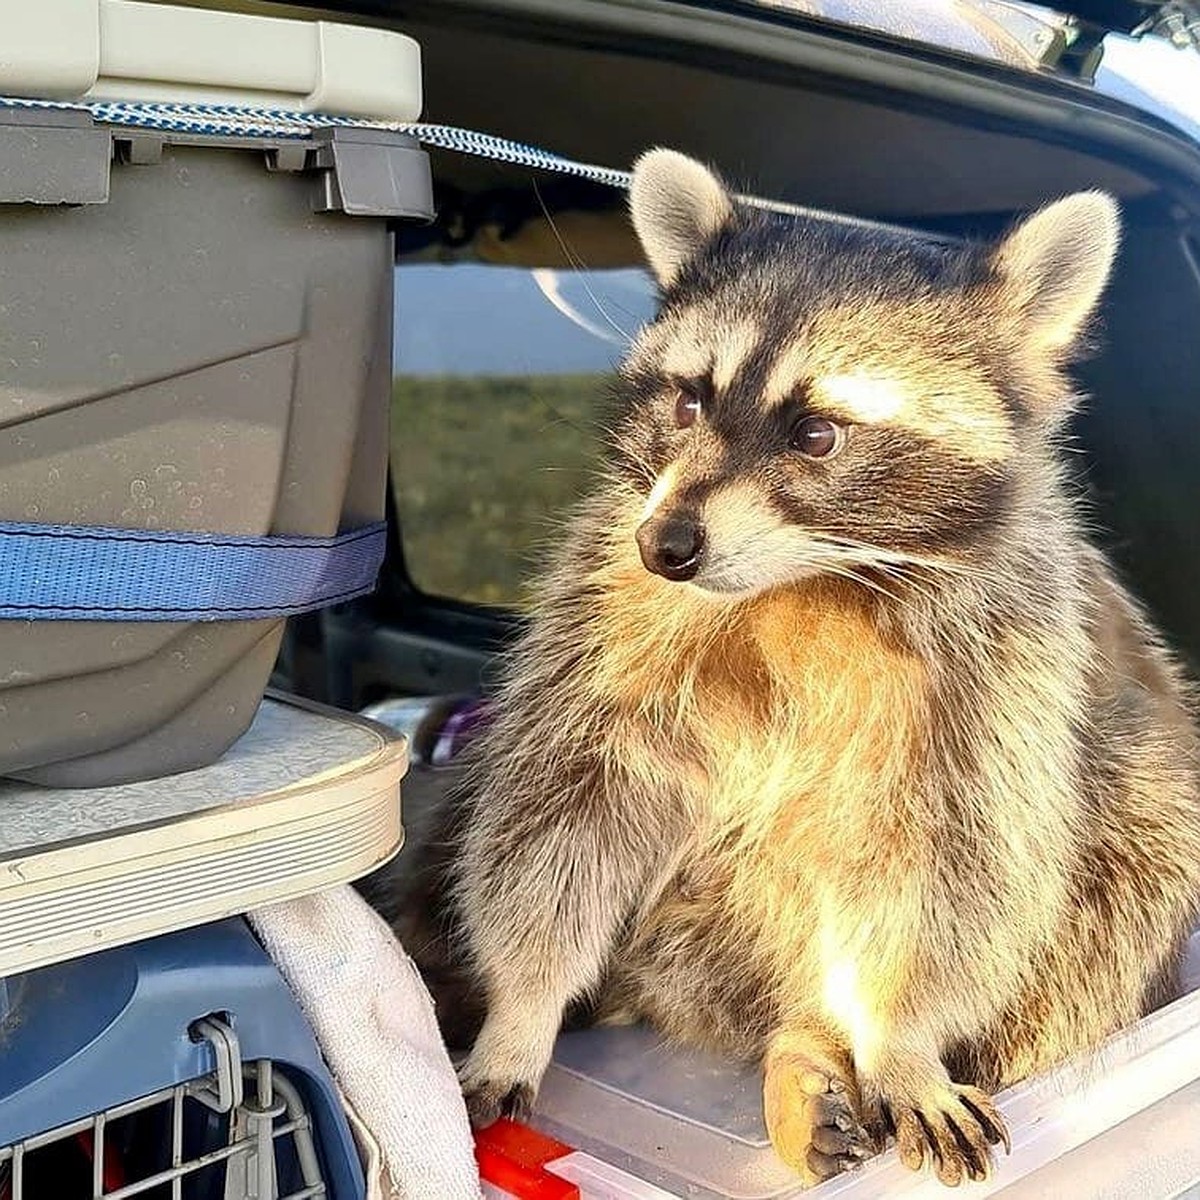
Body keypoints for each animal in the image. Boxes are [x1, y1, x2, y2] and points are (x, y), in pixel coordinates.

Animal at [441, 147, 1200, 1180]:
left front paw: (899, 1039)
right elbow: (563, 814)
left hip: (1138, 811)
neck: (804, 577)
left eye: (816, 433)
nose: (665, 547)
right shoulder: (603, 623)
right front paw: (522, 1008)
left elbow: (949, 863)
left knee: (1122, 884)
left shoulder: (996, 676)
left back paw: (816, 1041)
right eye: (689, 400)